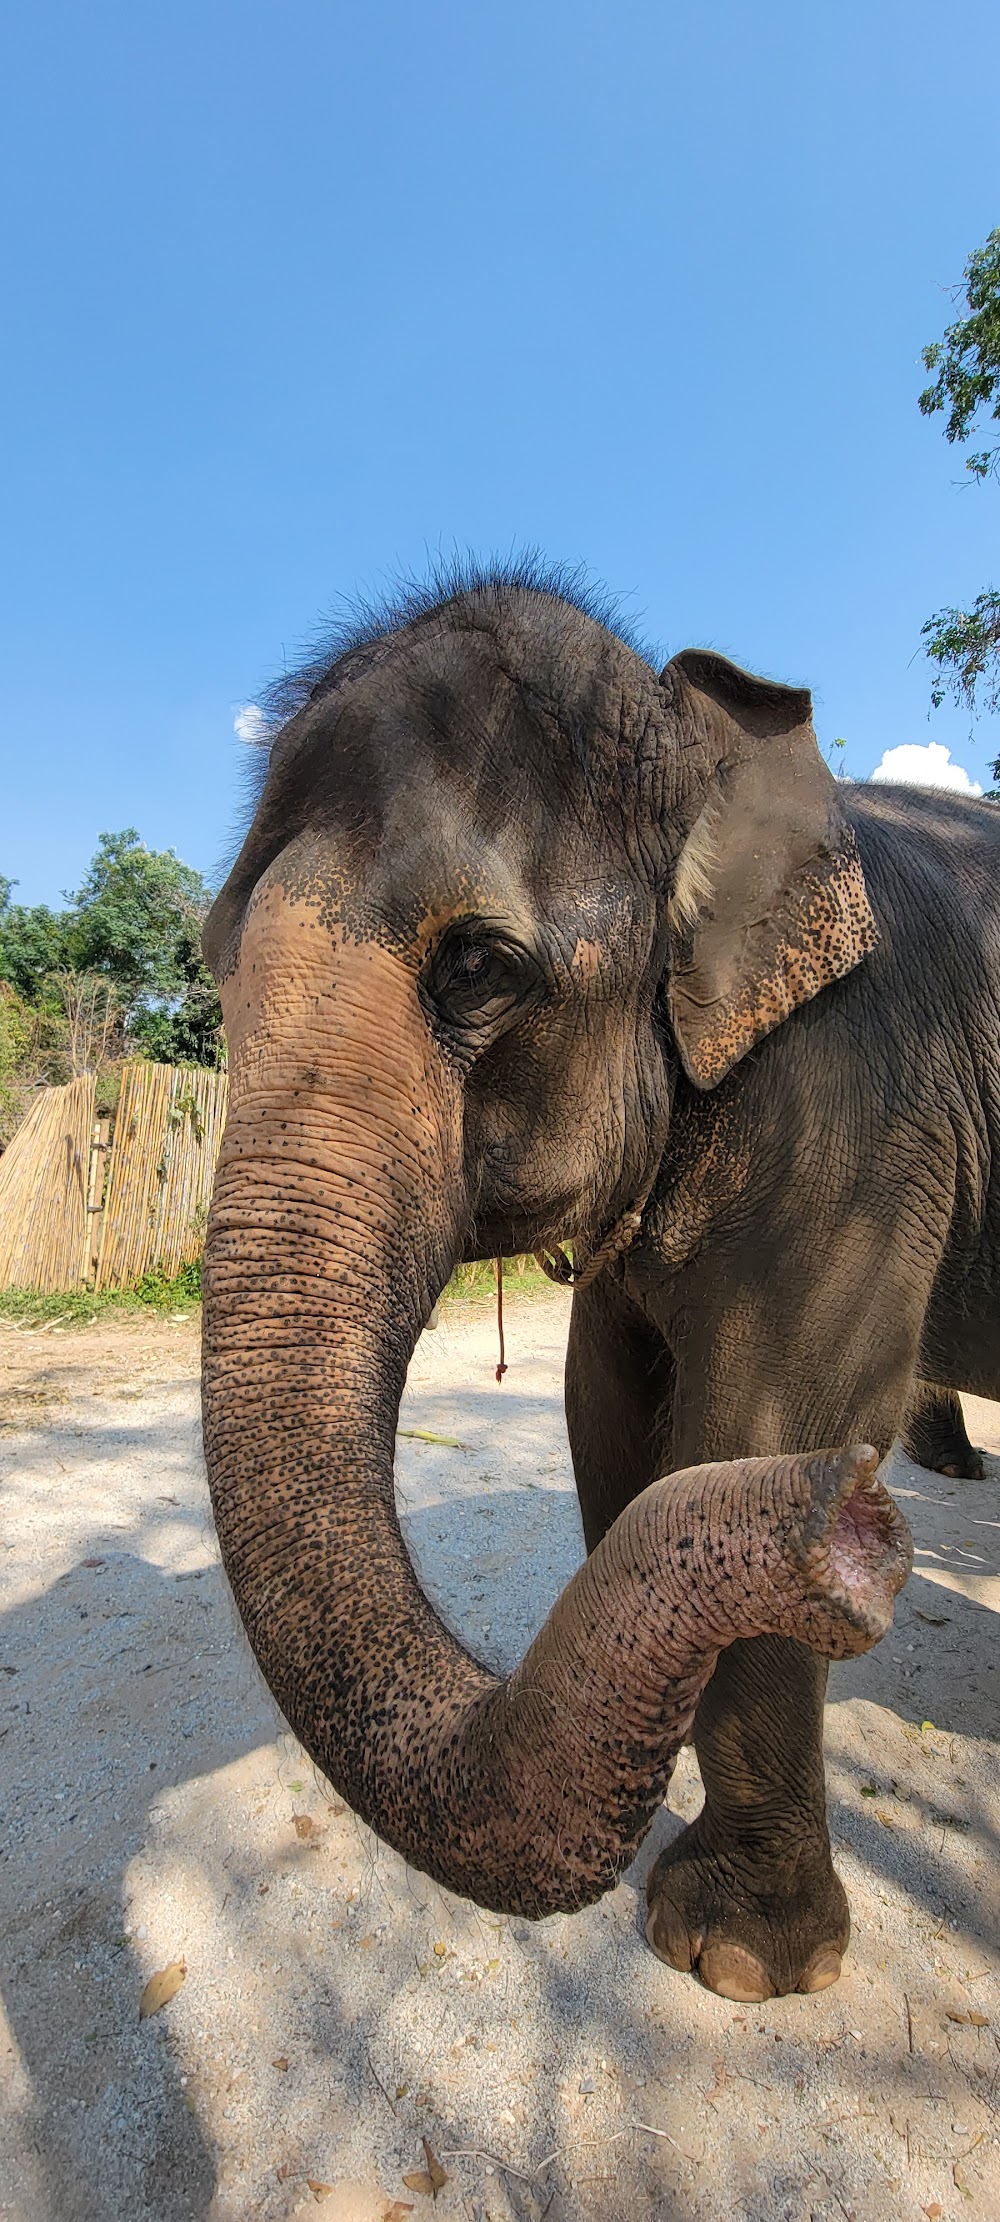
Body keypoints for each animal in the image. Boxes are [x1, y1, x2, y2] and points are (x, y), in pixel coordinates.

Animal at [198, 559, 995, 2017]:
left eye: (477, 967)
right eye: (217, 962)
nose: (863, 1521)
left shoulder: (861, 1110)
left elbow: (759, 1425)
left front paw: (737, 1961)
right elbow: (611, 1428)